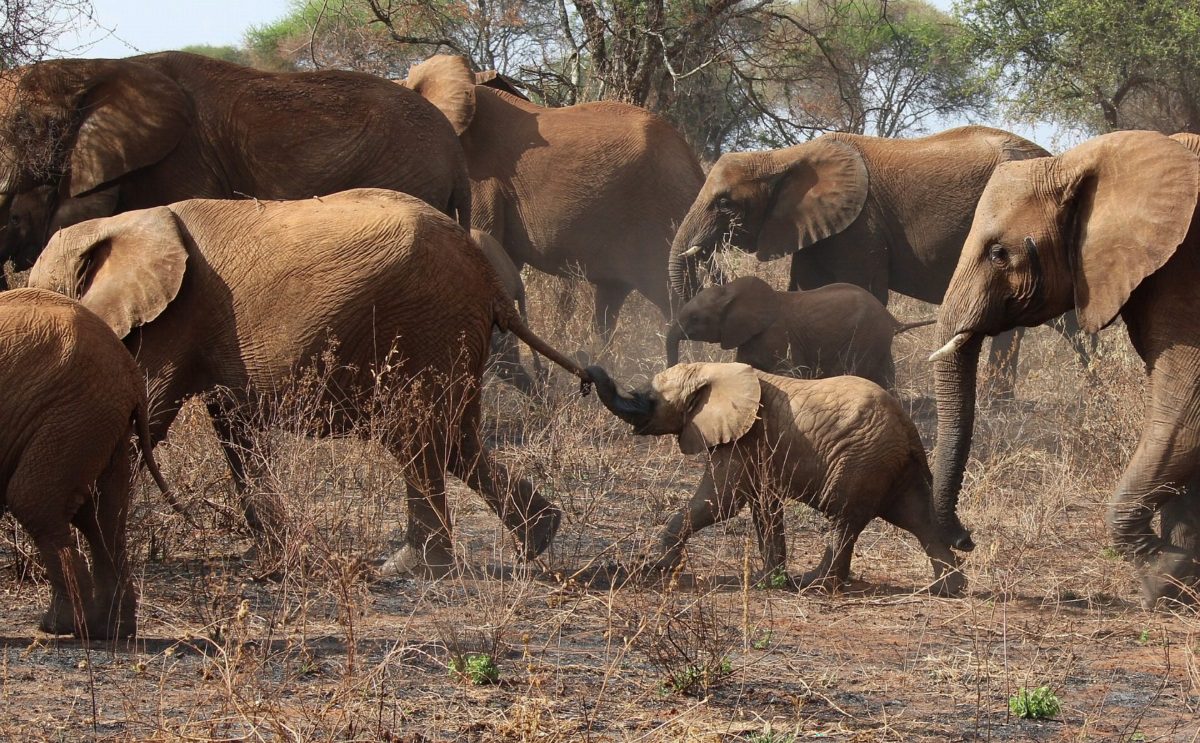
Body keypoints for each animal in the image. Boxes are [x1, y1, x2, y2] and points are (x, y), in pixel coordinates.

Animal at [0, 288, 173, 639]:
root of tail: (131, 370)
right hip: (103, 420)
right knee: (103, 517)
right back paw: (113, 629)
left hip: (73, 412)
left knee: (35, 502)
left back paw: (62, 625)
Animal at [586, 362, 965, 595]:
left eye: (649, 399)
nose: (587, 374)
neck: (714, 368)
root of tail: (909, 427)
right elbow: (763, 505)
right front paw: (769, 579)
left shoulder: (743, 436)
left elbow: (720, 502)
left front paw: (663, 565)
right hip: (892, 464)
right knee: (916, 518)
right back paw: (948, 589)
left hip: (862, 459)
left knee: (845, 518)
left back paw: (814, 584)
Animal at [666, 275, 933, 387]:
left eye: (695, 318)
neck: (731, 290)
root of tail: (892, 319)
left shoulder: (777, 336)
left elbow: (788, 372)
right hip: (877, 341)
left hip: (864, 337)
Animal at [928, 130, 1200, 606]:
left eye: (998, 253)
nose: (966, 540)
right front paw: (1180, 580)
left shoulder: (1184, 271)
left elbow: (1184, 413)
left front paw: (1165, 576)